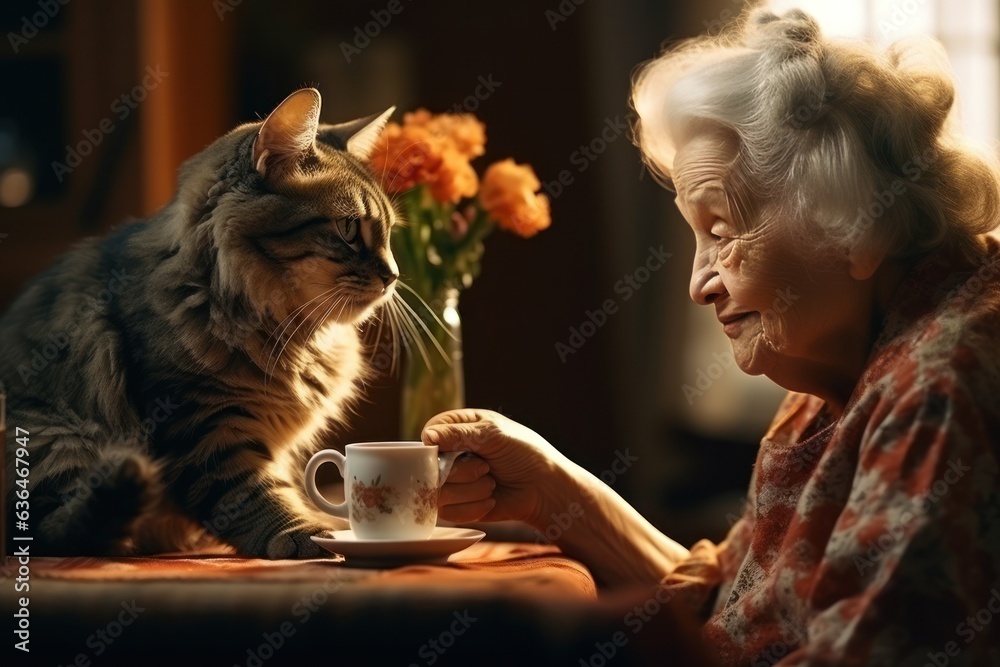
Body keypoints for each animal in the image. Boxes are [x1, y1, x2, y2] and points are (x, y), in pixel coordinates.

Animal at [3, 88, 402, 560]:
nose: (394, 275)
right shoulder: (200, 424)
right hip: (57, 437)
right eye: (348, 228)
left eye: (389, 234)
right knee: (57, 530)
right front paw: (307, 535)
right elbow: (252, 496)